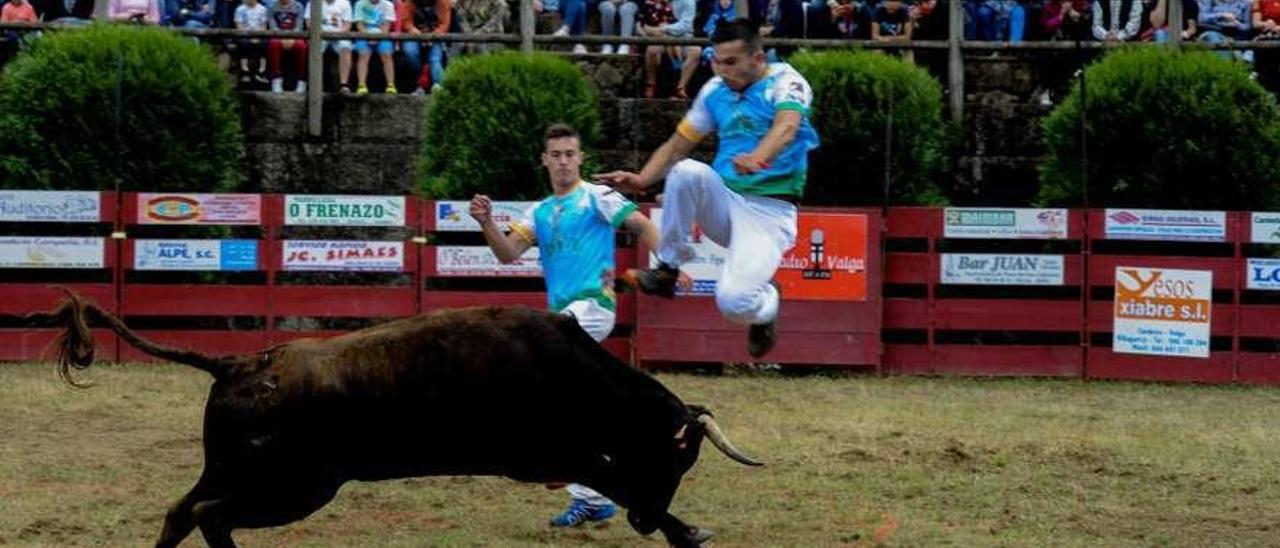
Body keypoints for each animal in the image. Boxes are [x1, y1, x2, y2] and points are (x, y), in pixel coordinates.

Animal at [27, 293, 757, 548]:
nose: (644, 523)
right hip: (294, 487)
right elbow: (615, 479)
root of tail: (236, 362)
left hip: (245, 473)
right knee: (208, 516)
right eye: (674, 457)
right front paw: (686, 531)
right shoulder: (547, 456)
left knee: (183, 512)